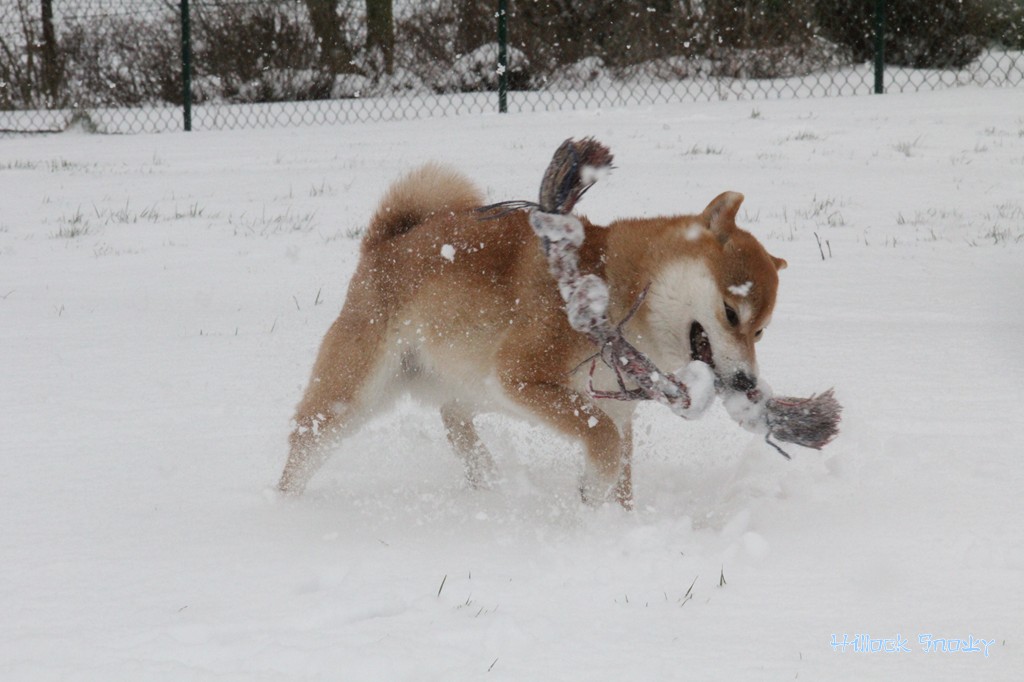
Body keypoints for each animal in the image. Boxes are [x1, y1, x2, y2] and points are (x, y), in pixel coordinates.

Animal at [276, 163, 786, 503]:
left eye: (761, 332)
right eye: (731, 313)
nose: (747, 382)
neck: (617, 283)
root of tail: (388, 241)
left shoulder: (616, 409)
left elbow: (620, 464)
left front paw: (612, 524)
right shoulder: (524, 376)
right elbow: (603, 442)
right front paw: (592, 491)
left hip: (471, 382)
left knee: (452, 416)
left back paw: (486, 478)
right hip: (357, 393)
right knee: (306, 443)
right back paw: (286, 510)